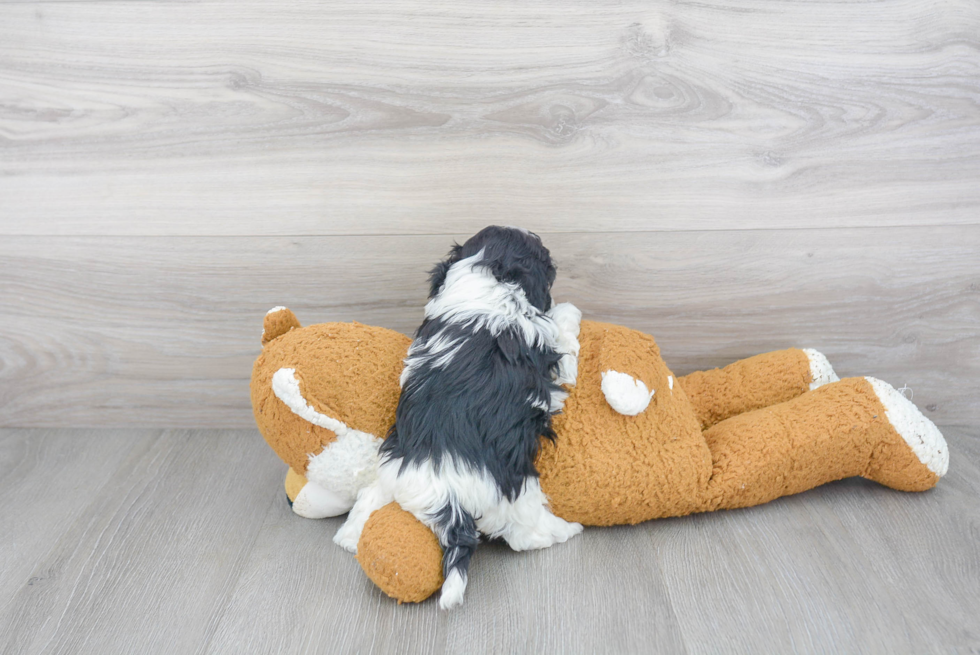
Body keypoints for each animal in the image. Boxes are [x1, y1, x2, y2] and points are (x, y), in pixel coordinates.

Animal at [334, 226, 584, 608]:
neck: (489, 278)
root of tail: (448, 496)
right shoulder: (552, 348)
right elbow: (566, 331)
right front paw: (570, 309)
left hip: (394, 467)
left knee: (370, 496)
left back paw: (349, 536)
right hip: (515, 492)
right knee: (526, 535)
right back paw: (567, 530)